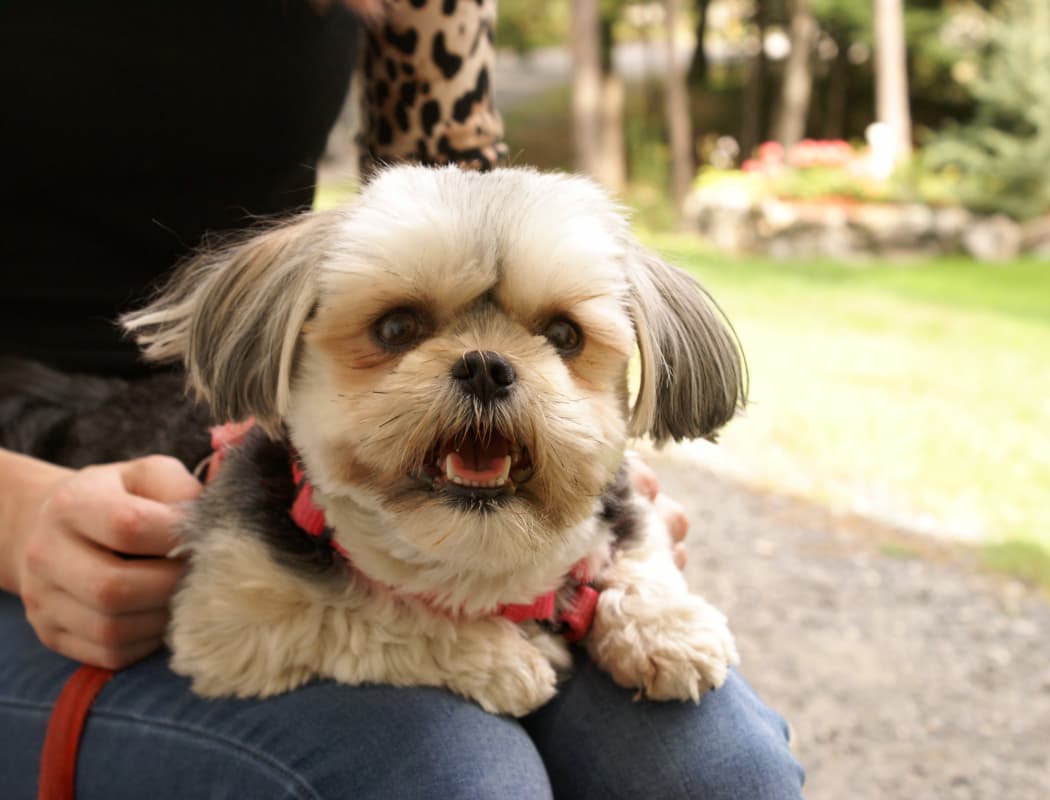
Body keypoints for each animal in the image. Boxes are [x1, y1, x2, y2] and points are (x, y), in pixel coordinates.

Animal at [10, 164, 747, 713]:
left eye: (565, 334)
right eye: (396, 328)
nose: (487, 365)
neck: (477, 560)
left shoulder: (623, 513)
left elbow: (640, 550)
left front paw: (667, 629)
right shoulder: (229, 621)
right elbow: (371, 612)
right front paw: (503, 657)